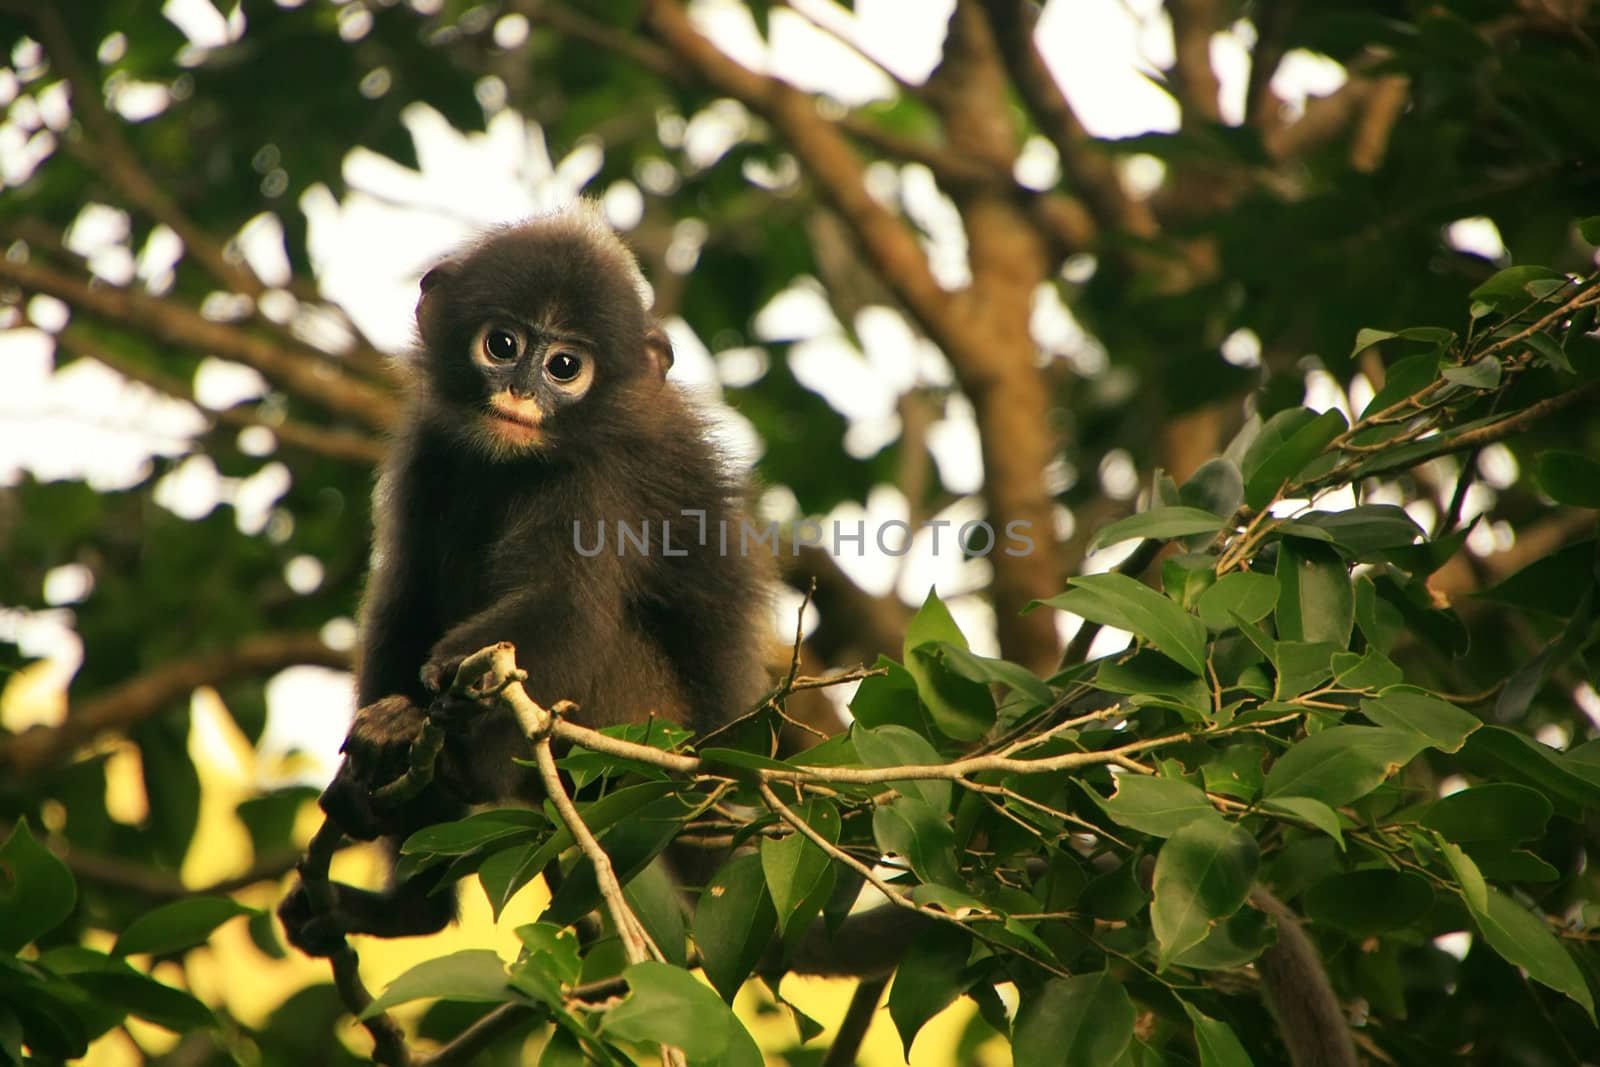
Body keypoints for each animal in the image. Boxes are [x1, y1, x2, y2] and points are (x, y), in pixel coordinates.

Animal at [281, 206, 774, 953]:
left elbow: (568, 607)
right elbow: (405, 598)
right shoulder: (429, 446)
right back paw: (409, 902)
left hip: (645, 734)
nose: (519, 391)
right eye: (502, 344)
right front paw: (379, 751)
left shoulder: (600, 479)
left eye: (565, 366)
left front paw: (438, 696)